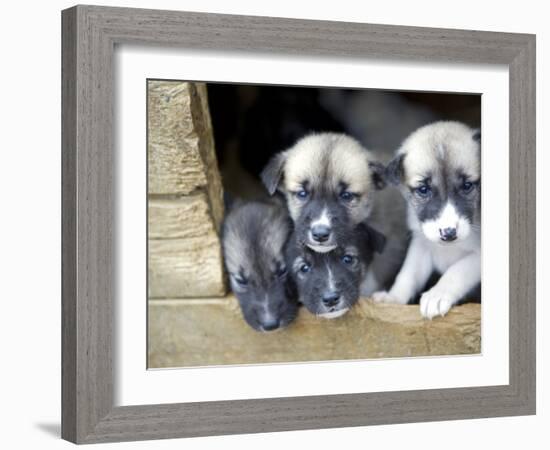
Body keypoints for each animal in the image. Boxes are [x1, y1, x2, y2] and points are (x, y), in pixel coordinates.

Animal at [376, 120, 484, 320]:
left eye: (467, 186)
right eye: (423, 189)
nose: (449, 233)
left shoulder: (477, 256)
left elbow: (457, 270)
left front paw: (437, 295)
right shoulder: (422, 245)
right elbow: (408, 274)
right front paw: (393, 297)